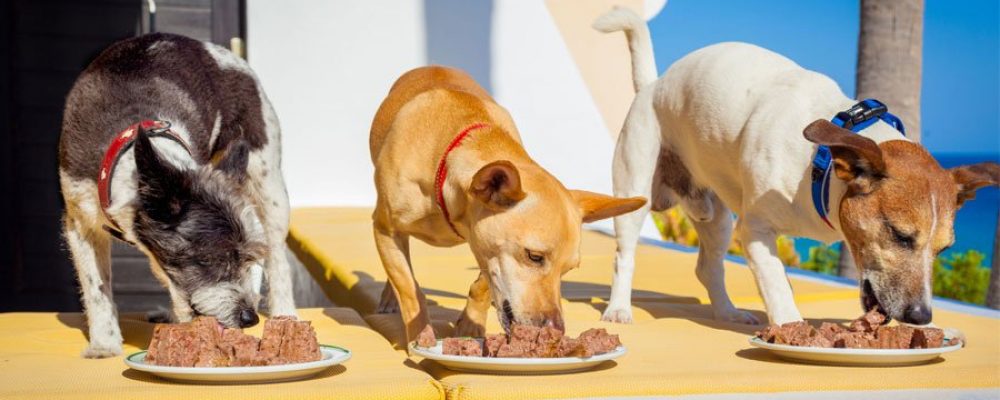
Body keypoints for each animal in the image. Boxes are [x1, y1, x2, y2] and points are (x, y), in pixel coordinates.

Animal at [58, 34, 294, 358]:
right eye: (211, 259)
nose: (249, 318)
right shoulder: (79, 219)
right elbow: (96, 288)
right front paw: (104, 344)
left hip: (267, 179)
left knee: (278, 254)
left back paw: (286, 314)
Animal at [372, 65, 644, 344]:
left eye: (568, 269)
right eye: (534, 257)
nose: (556, 329)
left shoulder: (486, 246)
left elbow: (484, 285)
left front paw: (470, 327)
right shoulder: (384, 230)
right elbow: (409, 290)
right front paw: (420, 335)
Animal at [596, 7, 996, 326]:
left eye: (944, 249)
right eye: (900, 236)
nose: (921, 317)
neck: (821, 164)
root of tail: (654, 85)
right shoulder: (755, 230)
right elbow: (777, 284)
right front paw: (791, 330)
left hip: (717, 219)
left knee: (708, 268)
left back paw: (728, 313)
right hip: (635, 193)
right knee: (624, 256)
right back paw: (619, 309)